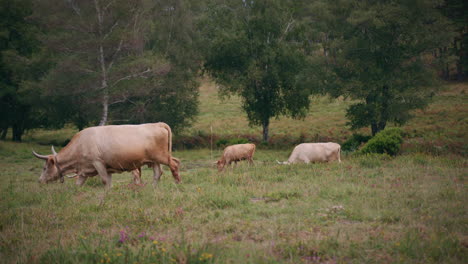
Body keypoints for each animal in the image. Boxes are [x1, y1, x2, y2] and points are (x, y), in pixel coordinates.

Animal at [32, 122, 181, 189]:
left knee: (174, 164)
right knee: (157, 173)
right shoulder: (87, 170)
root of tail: (157, 124)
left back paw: (178, 183)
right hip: (154, 160)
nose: (39, 181)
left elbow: (104, 180)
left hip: (162, 156)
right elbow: (80, 183)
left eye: (44, 168)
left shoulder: (98, 163)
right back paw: (152, 188)